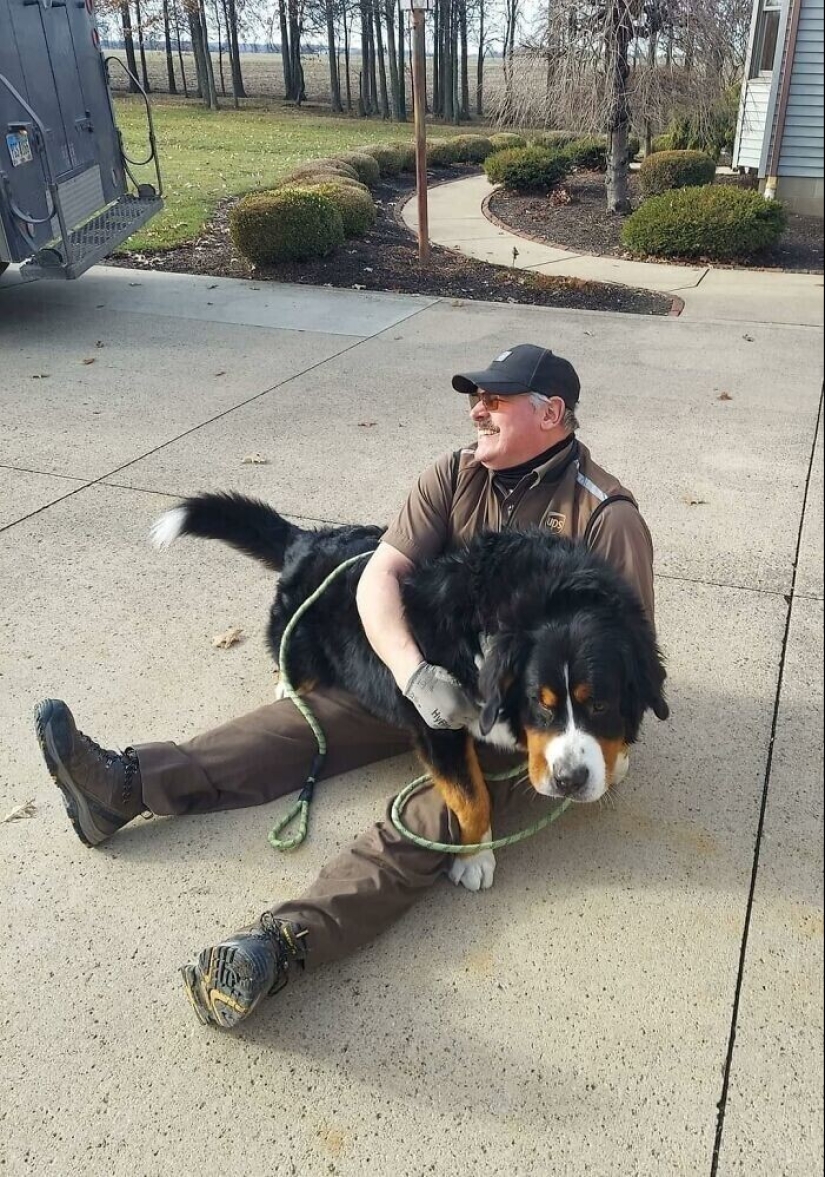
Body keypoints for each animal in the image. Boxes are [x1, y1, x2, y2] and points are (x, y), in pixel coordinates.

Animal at [151, 491, 668, 885]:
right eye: (538, 706)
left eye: (599, 704)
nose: (569, 781)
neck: (539, 598)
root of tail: (310, 538)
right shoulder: (437, 723)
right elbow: (471, 799)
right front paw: (473, 859)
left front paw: (616, 758)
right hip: (299, 642)